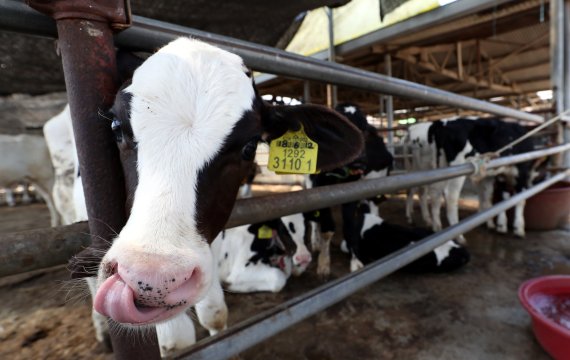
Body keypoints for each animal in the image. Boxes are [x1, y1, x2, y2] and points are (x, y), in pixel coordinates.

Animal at [304, 102, 392, 278]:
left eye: (364, 130)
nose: (359, 161)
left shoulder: (351, 194)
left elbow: (350, 227)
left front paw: (355, 262)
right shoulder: (320, 191)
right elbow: (327, 229)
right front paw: (324, 264)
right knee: (314, 219)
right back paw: (315, 242)